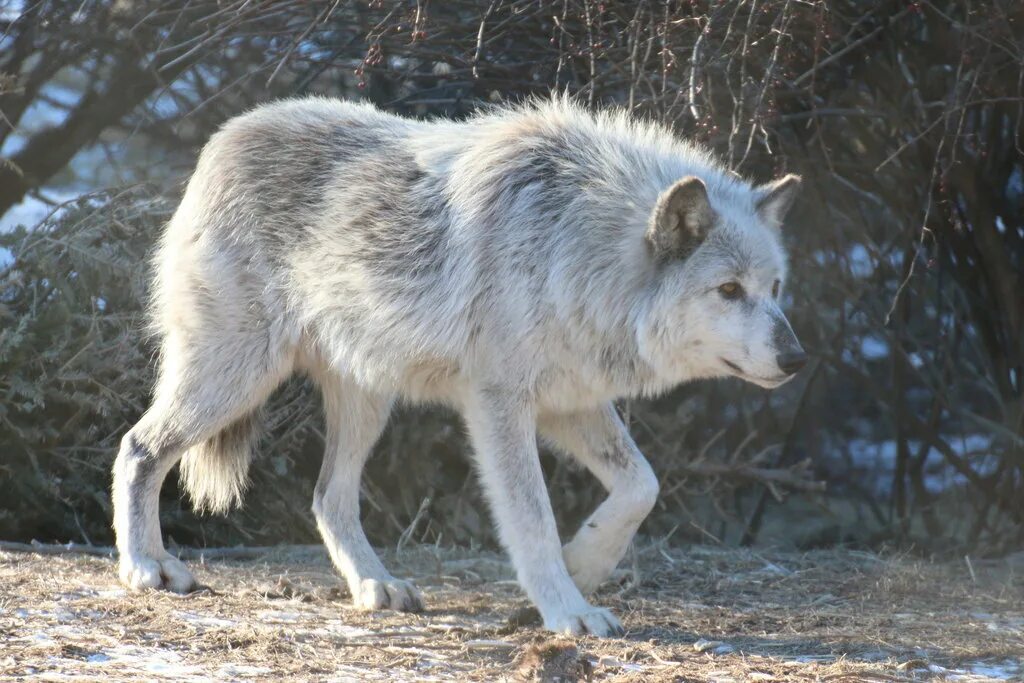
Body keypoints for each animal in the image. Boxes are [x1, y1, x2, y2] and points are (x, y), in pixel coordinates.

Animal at [110, 94, 798, 634]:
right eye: (728, 290)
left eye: (775, 288)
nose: (795, 356)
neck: (573, 246)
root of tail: (223, 138)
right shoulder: (499, 406)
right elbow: (533, 519)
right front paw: (567, 611)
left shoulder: (569, 401)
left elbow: (641, 487)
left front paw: (585, 565)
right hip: (236, 378)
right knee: (139, 447)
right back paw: (145, 566)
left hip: (365, 401)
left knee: (328, 498)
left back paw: (376, 586)